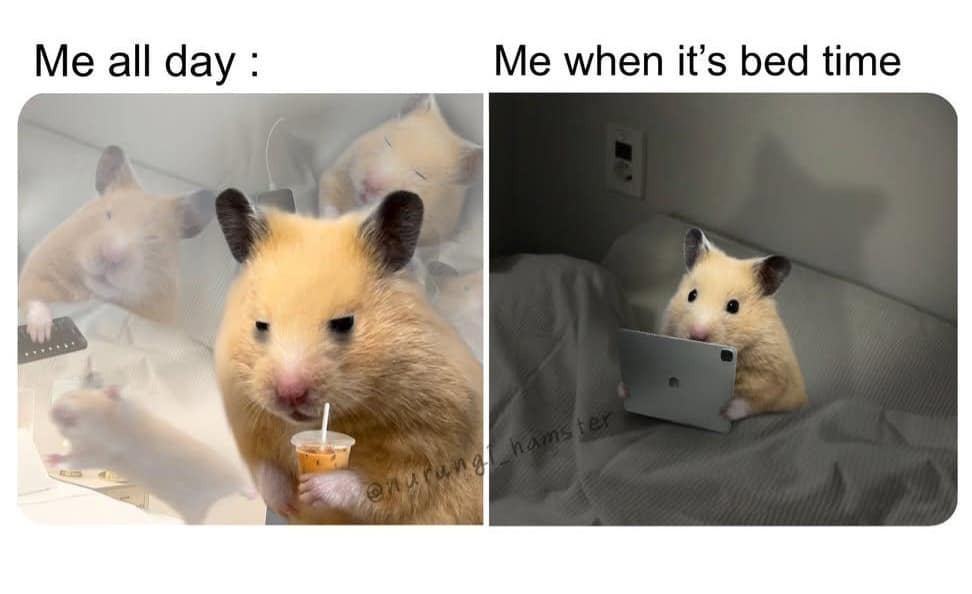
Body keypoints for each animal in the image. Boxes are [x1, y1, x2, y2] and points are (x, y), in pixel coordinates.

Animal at [19, 145, 215, 342]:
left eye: (153, 237)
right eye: (108, 214)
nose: (111, 255)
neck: (91, 292)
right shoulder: (40, 267)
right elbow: (32, 296)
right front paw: (41, 336)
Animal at [48, 383, 255, 524]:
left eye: (72, 394)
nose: (52, 411)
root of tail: (210, 500)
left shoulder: (128, 422)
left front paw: (113, 390)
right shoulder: (95, 453)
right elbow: (76, 460)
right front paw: (52, 458)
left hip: (225, 468)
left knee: (240, 481)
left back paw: (251, 491)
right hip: (195, 508)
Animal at [213, 188, 483, 524]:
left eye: (344, 323)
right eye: (260, 325)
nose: (290, 394)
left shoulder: (437, 435)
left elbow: (378, 485)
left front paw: (312, 489)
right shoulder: (244, 417)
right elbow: (265, 468)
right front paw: (288, 503)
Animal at [659, 228, 807, 420]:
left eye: (733, 306)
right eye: (691, 295)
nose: (697, 335)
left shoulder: (770, 379)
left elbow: (750, 401)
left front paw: (723, 411)